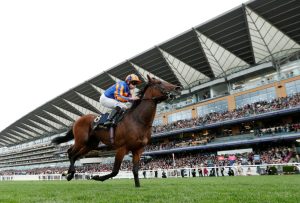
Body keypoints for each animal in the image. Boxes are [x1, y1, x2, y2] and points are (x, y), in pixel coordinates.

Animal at [52, 75, 180, 187]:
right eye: (159, 82)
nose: (177, 87)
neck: (138, 120)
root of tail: (77, 120)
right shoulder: (122, 148)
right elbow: (115, 171)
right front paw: (97, 177)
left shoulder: (138, 150)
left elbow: (135, 170)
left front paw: (138, 186)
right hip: (81, 140)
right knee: (70, 152)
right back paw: (69, 174)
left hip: (91, 144)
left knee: (75, 155)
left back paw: (69, 174)